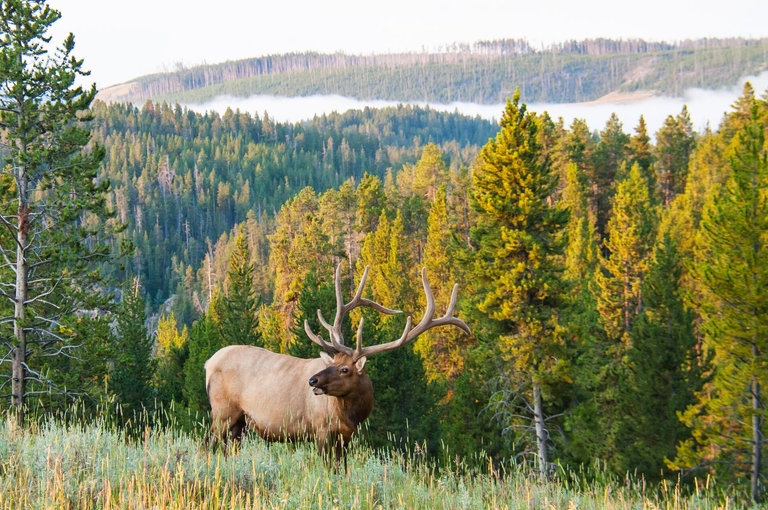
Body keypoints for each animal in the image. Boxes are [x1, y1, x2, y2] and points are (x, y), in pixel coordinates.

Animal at [204, 265, 471, 466]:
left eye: (345, 369)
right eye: (334, 363)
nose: (312, 380)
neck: (351, 415)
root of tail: (208, 363)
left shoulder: (346, 437)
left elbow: (342, 469)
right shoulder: (320, 429)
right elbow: (328, 468)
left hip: (240, 422)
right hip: (222, 411)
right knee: (211, 444)